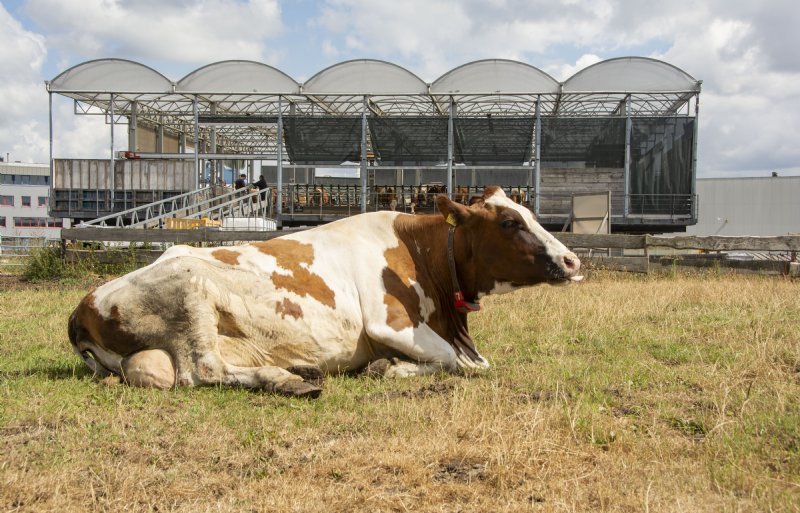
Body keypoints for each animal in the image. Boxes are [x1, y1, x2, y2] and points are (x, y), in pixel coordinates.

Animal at [68, 187, 582, 398]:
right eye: (510, 222)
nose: (573, 262)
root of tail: (84, 306)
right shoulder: (389, 323)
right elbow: (455, 362)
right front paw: (390, 368)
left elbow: (470, 362)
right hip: (189, 290)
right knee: (204, 370)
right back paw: (288, 381)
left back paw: (294, 369)